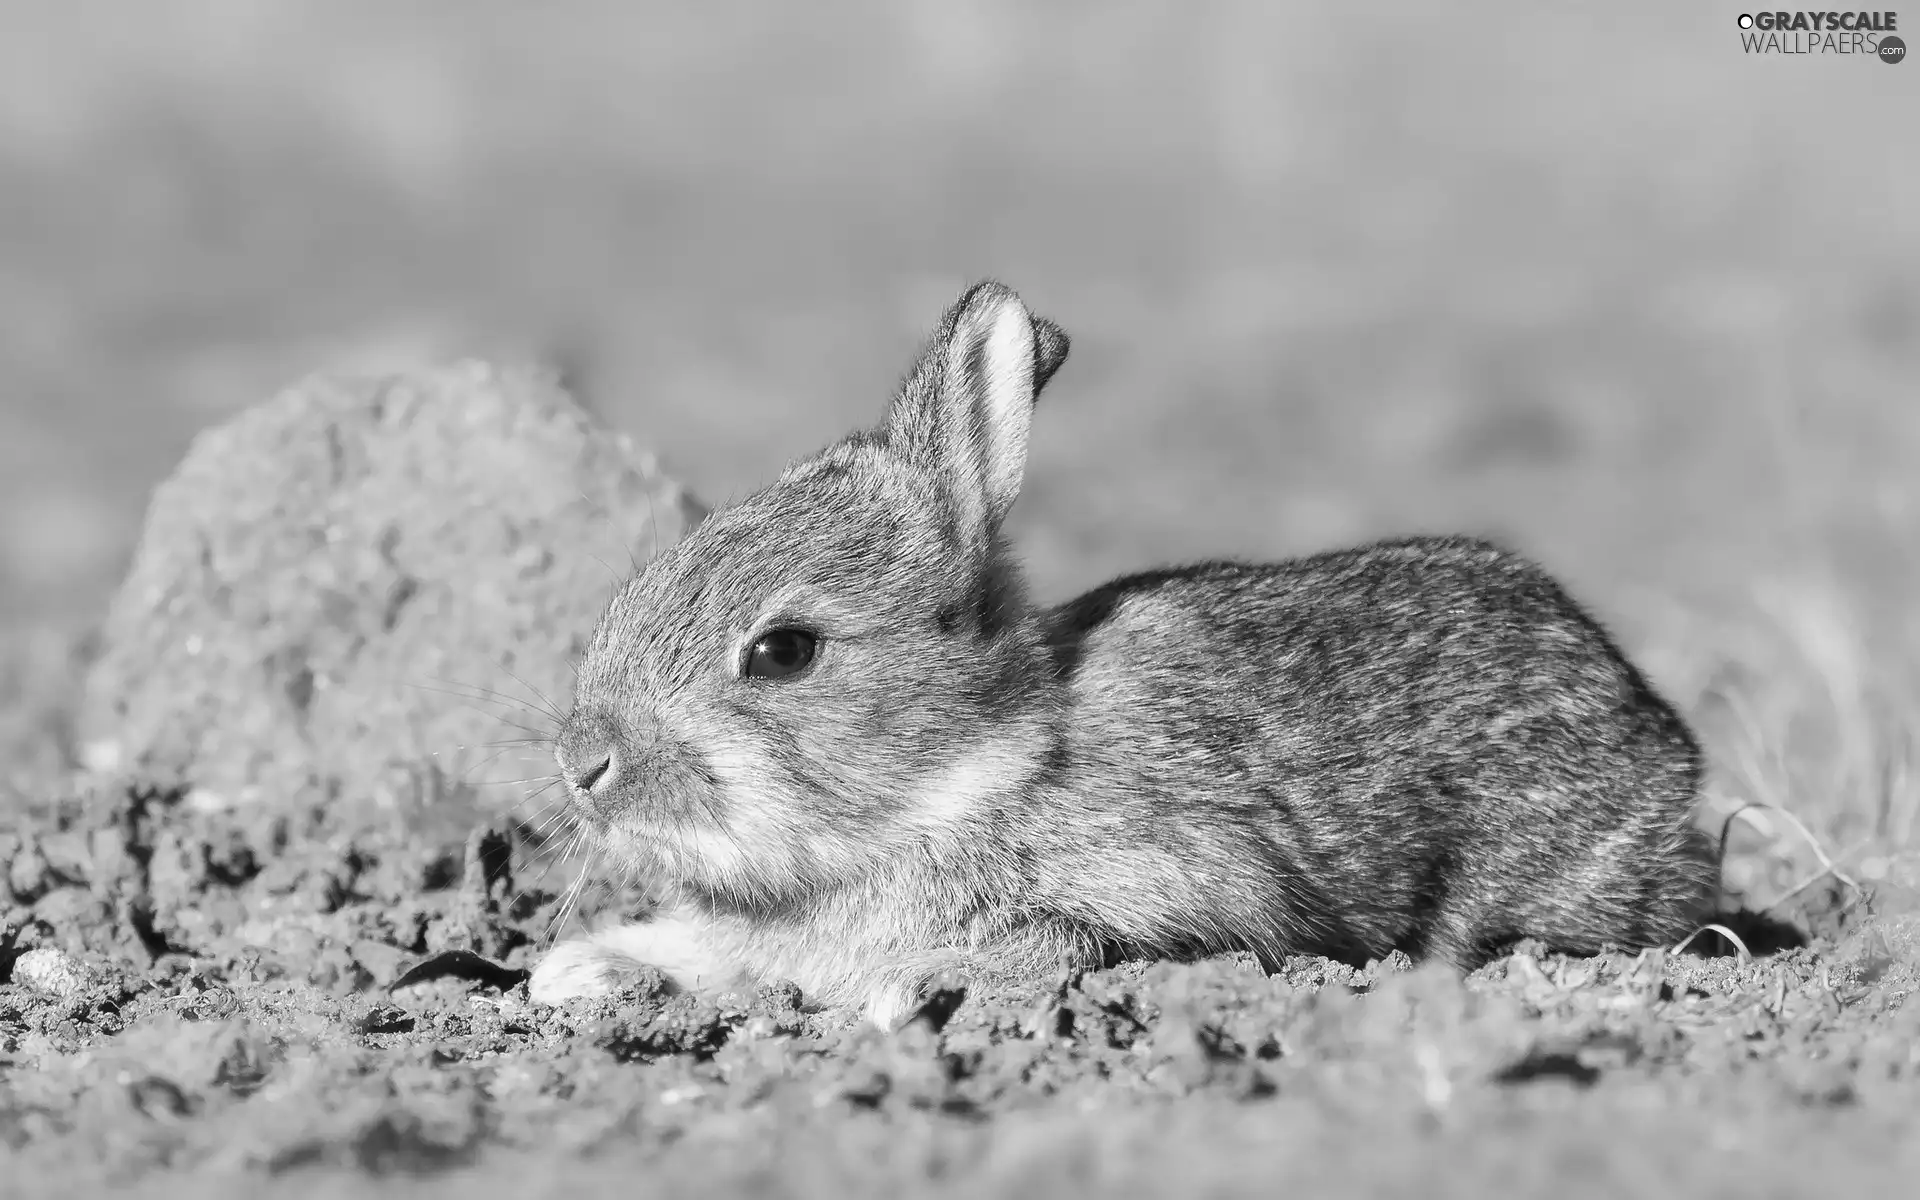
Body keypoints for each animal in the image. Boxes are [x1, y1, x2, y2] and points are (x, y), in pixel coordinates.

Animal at [529, 276, 1728, 1021]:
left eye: (784, 651)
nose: (584, 764)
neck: (972, 773)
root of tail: (1664, 742)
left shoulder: (1181, 896)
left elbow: (1062, 943)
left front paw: (914, 991)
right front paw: (572, 972)